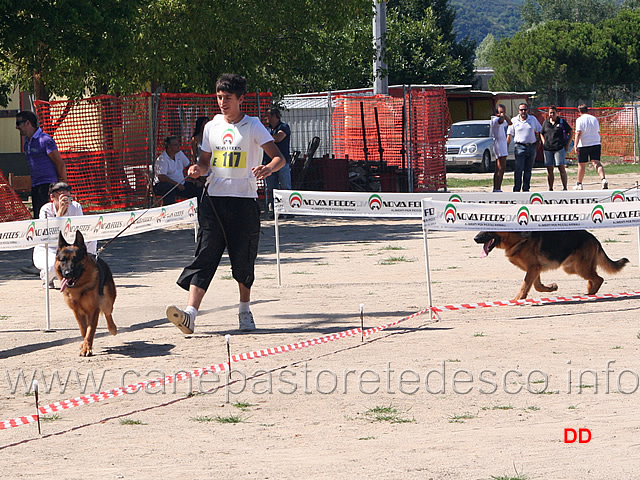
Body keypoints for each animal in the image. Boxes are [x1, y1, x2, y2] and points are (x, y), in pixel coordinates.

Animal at [476, 229, 632, 300]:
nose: (475, 238)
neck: (517, 237)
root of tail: (593, 238)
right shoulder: (535, 269)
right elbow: (537, 286)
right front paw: (551, 287)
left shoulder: (533, 268)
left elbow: (525, 285)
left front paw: (517, 300)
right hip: (573, 267)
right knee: (594, 278)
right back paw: (589, 291)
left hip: (578, 268)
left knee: (599, 278)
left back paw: (590, 294)